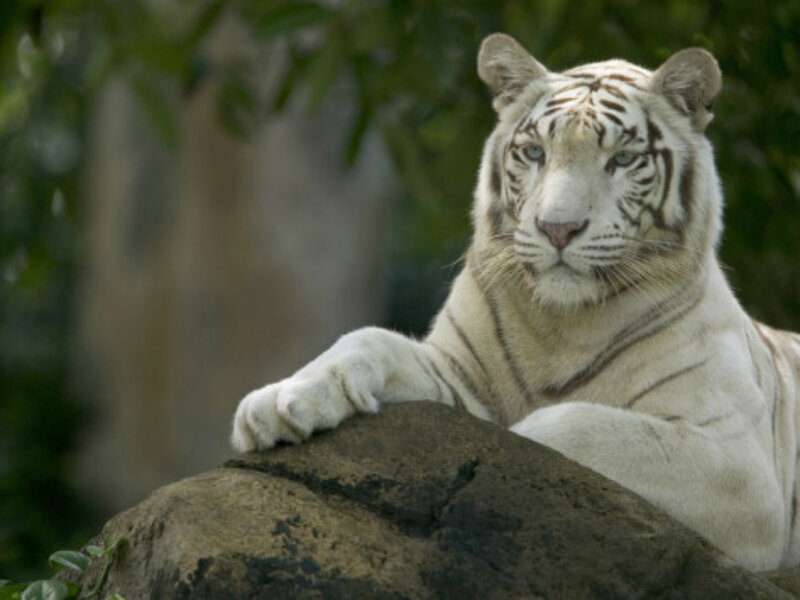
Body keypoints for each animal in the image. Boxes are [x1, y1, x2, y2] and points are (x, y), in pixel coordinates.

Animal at [231, 33, 800, 571]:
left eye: (622, 159)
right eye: (534, 153)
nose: (558, 228)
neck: (563, 323)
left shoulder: (739, 467)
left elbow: (567, 426)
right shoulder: (458, 368)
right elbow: (368, 339)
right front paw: (280, 403)